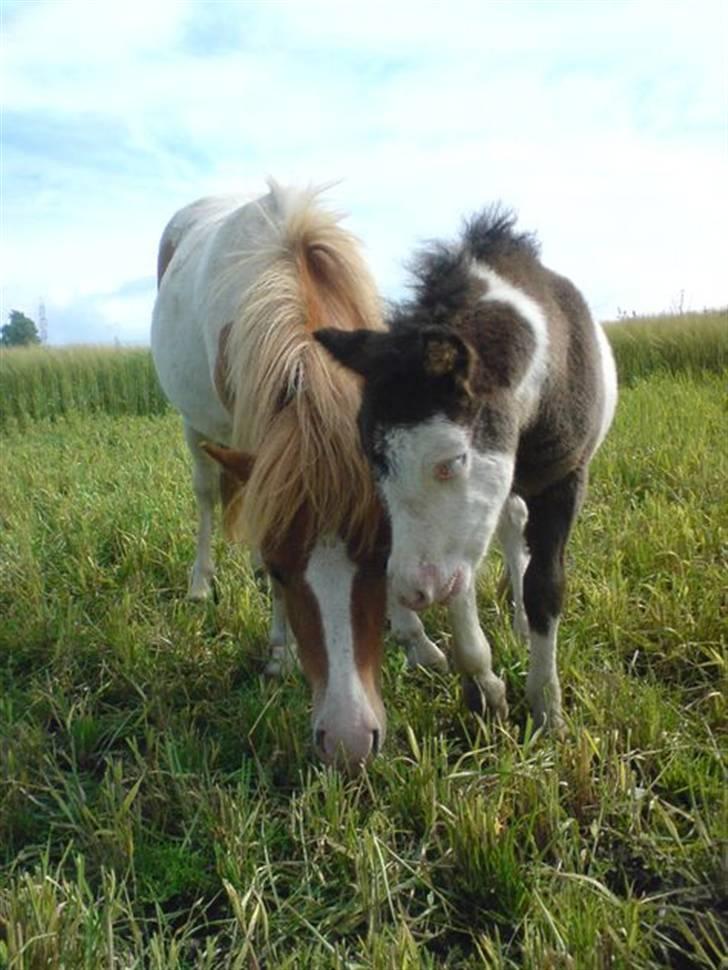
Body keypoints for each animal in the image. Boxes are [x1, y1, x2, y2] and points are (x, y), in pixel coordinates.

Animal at [151, 182, 396, 768]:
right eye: (288, 571)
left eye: (383, 560)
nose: (350, 743)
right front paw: (280, 652)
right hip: (196, 426)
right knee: (207, 497)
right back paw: (201, 583)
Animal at [316, 206, 616, 732]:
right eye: (376, 463)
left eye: (453, 460)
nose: (411, 591)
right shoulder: (461, 524)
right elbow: (459, 582)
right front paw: (485, 692)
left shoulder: (564, 479)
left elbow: (545, 586)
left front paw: (547, 708)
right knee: (509, 527)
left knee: (517, 532)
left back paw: (521, 625)